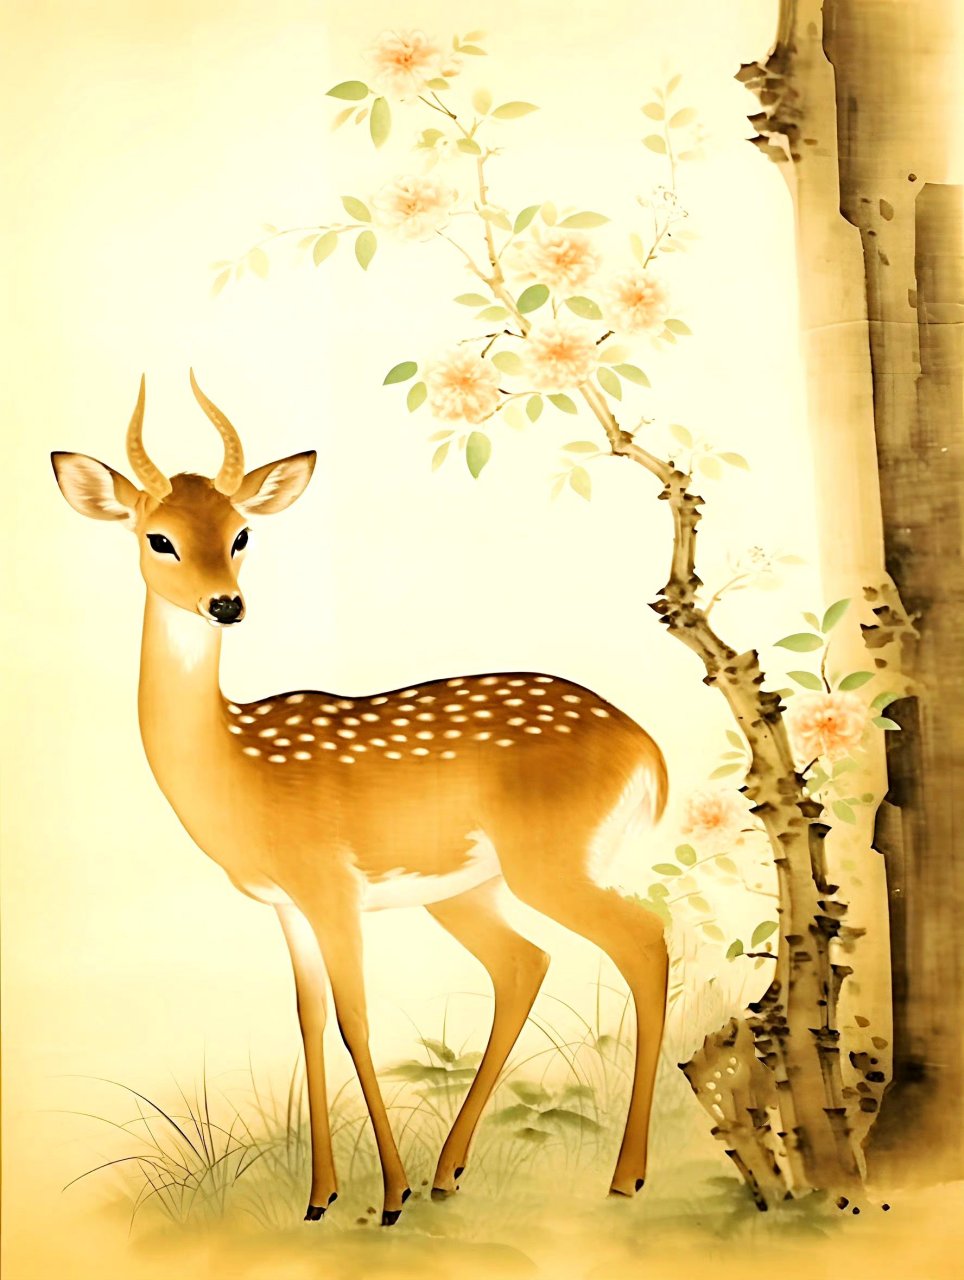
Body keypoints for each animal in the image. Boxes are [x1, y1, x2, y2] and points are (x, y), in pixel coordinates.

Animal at [51, 373, 670, 1226]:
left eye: (242, 535)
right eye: (159, 539)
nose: (225, 604)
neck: (238, 767)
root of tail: (648, 750)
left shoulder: (329, 883)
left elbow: (355, 1019)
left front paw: (388, 1194)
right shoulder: (286, 902)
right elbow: (311, 1022)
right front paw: (321, 1197)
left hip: (551, 857)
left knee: (644, 941)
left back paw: (622, 1176)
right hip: (467, 886)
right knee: (526, 962)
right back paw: (451, 1171)